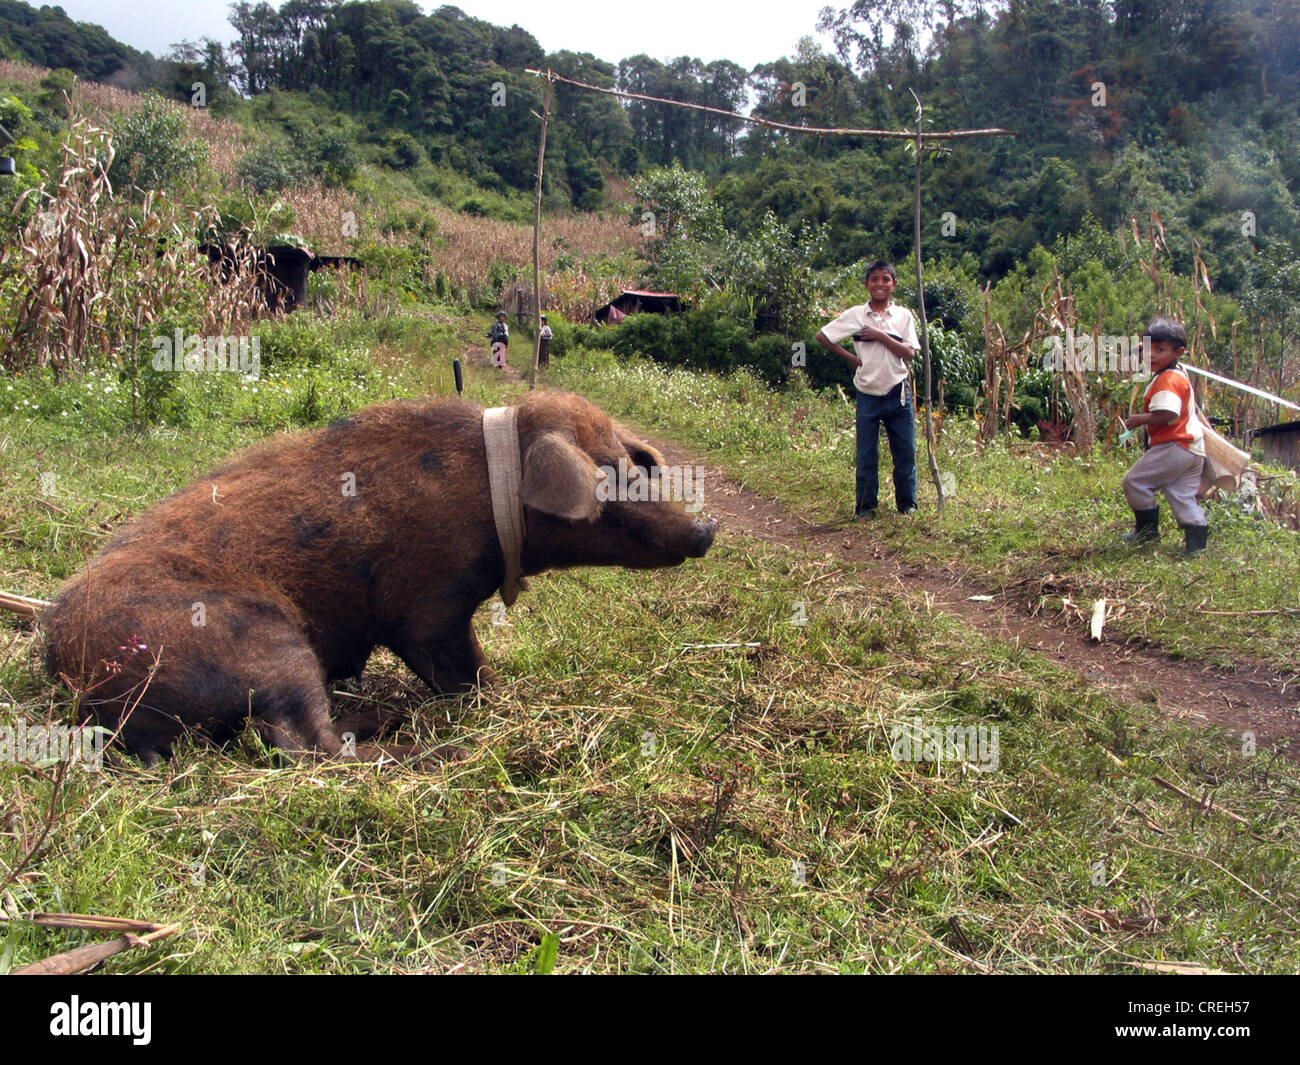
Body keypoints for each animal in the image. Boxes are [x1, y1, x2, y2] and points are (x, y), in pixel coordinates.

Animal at [43, 392, 712, 764]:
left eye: (632, 465)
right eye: (610, 476)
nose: (705, 530)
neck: (489, 498)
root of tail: (67, 666)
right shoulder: (424, 604)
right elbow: (464, 669)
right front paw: (499, 706)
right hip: (257, 639)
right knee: (301, 747)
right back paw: (435, 750)